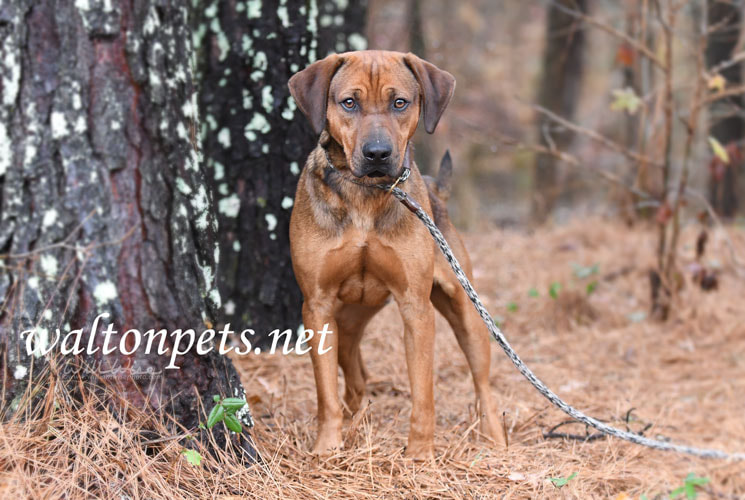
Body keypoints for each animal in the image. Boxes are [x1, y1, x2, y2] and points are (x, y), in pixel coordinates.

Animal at [288, 50, 502, 460]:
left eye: (399, 103)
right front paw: (327, 448)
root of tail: (437, 191)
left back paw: (494, 439)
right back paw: (357, 421)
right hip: (347, 320)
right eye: (349, 102)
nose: (377, 153)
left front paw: (420, 455)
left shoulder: (415, 305)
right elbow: (326, 392)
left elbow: (423, 393)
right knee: (354, 377)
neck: (365, 194)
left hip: (465, 309)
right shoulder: (317, 305)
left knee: (483, 382)